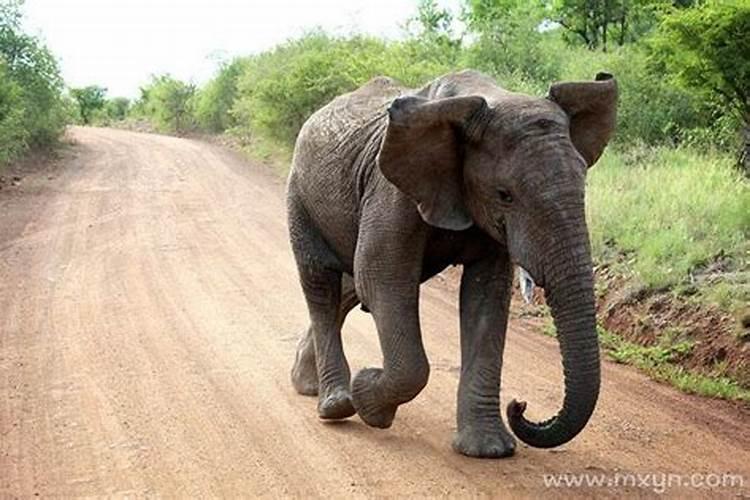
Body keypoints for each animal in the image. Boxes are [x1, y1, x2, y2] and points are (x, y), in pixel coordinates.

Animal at [284, 69, 620, 458]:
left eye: (584, 187)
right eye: (504, 195)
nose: (519, 406)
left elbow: (486, 296)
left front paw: (488, 450)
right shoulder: (391, 188)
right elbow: (382, 278)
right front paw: (367, 396)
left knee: (348, 289)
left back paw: (307, 383)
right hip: (300, 195)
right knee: (321, 284)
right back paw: (336, 403)